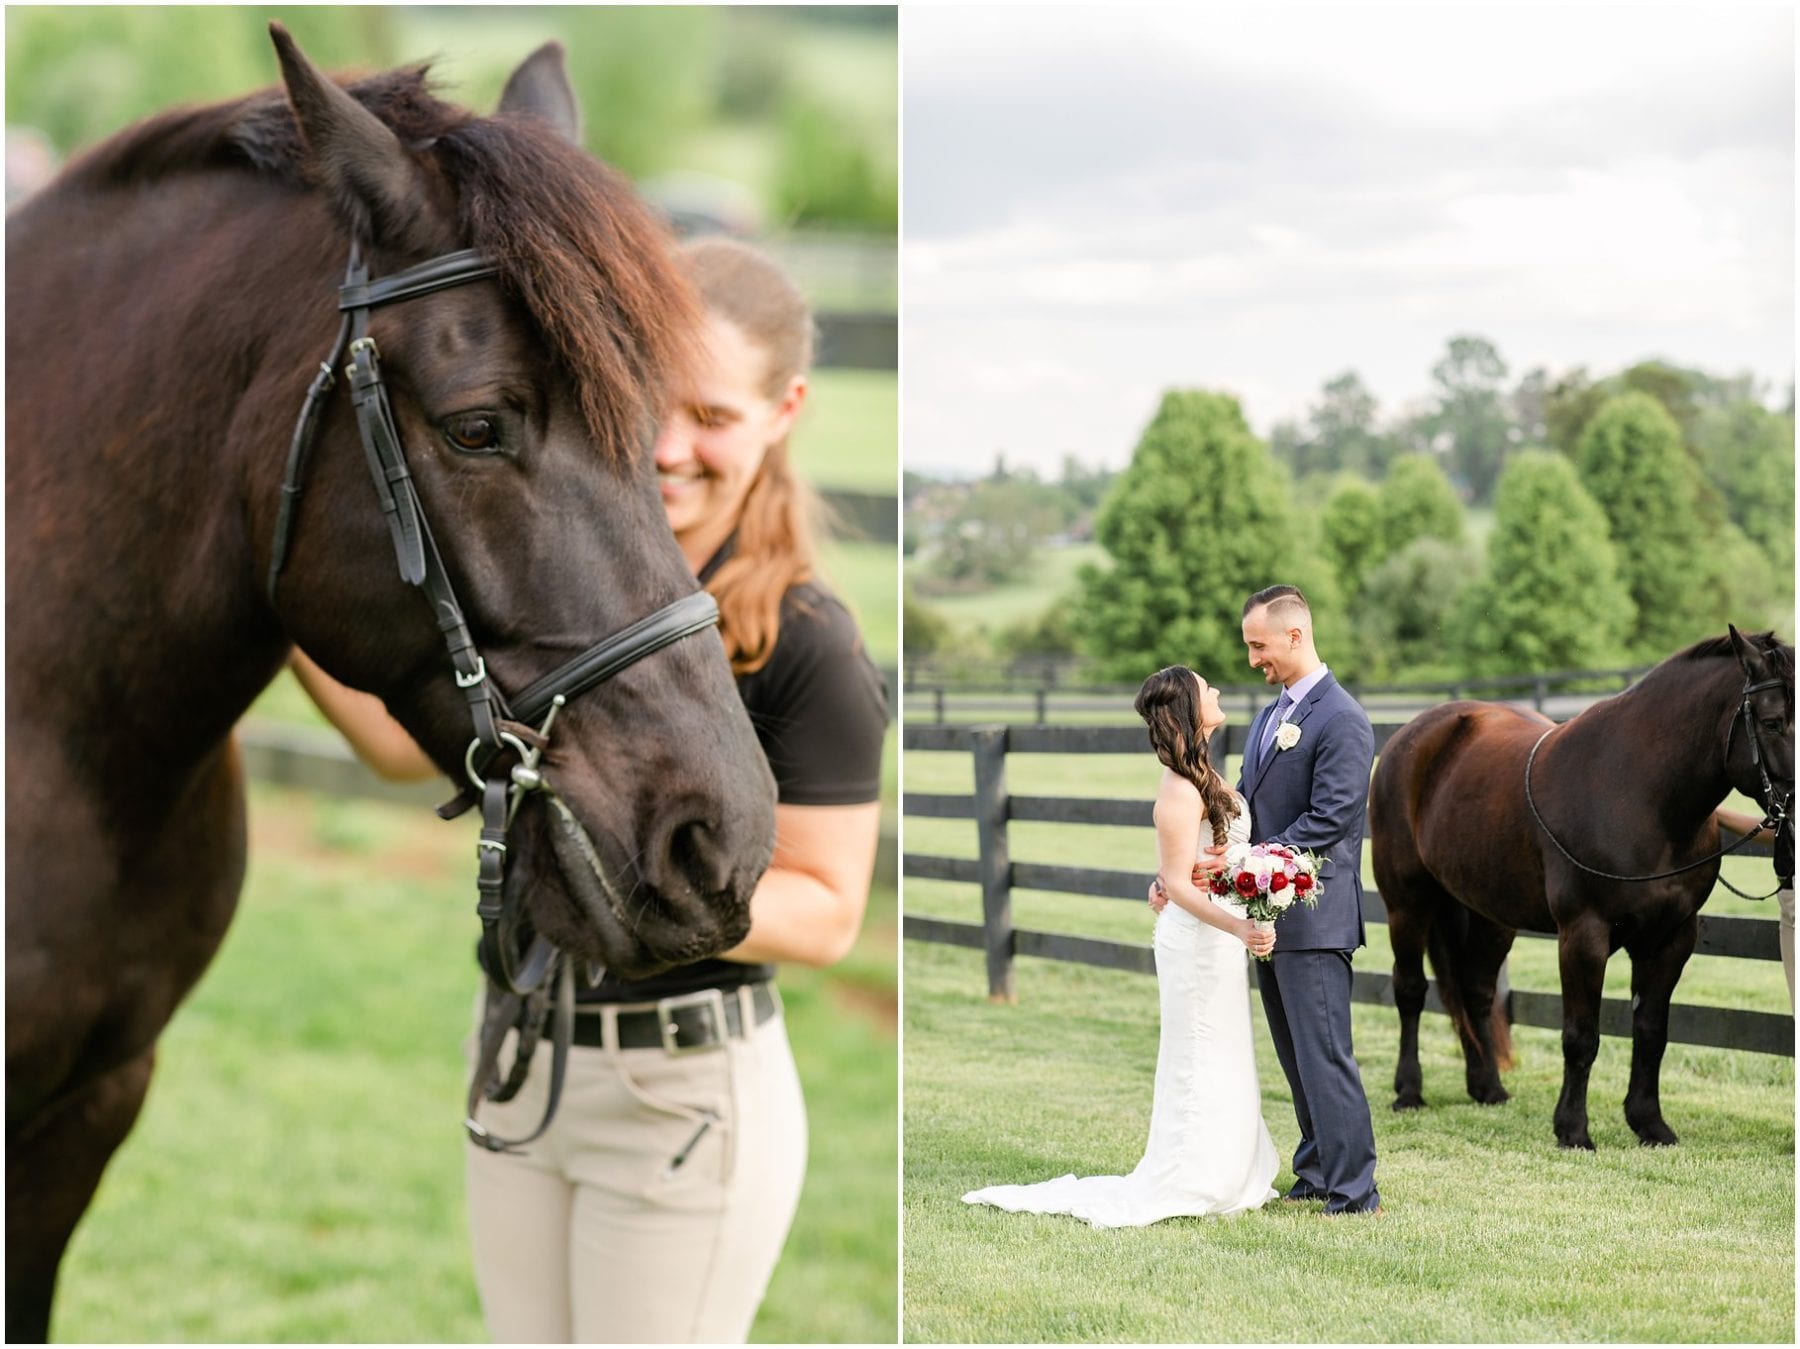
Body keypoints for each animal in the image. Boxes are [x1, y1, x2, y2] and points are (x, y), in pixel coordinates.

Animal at [1375, 630, 1785, 1145]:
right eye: (1772, 721)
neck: (1639, 795)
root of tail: (1411, 735)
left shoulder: (1672, 938)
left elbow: (1652, 1032)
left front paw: (1649, 1123)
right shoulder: (1584, 935)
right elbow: (1581, 1035)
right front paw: (1573, 1130)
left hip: (1490, 916)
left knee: (1476, 992)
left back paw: (1488, 1088)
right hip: (1404, 904)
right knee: (1410, 991)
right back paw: (1408, 1091)